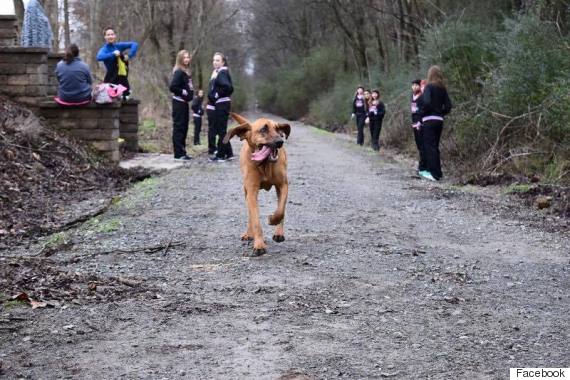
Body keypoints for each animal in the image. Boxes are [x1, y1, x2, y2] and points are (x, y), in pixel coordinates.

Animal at [222, 112, 290, 255]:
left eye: (278, 129)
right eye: (263, 129)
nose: (280, 141)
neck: (264, 165)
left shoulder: (283, 185)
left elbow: (280, 210)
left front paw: (273, 220)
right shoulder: (252, 192)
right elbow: (255, 221)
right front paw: (259, 245)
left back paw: (278, 233)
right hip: (246, 191)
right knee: (250, 214)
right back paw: (249, 234)